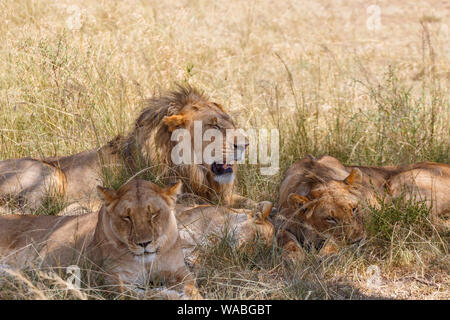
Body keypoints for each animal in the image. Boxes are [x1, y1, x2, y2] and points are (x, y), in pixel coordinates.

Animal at [0, 179, 202, 298]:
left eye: (153, 214)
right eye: (127, 217)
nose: (144, 244)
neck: (146, 262)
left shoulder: (179, 271)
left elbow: (192, 287)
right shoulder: (108, 280)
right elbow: (139, 295)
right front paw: (167, 294)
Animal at [276, 155, 448, 255]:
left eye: (354, 209)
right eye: (330, 219)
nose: (358, 241)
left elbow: (334, 242)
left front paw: (327, 255)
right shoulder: (281, 224)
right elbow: (286, 241)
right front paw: (296, 260)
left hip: (402, 185)